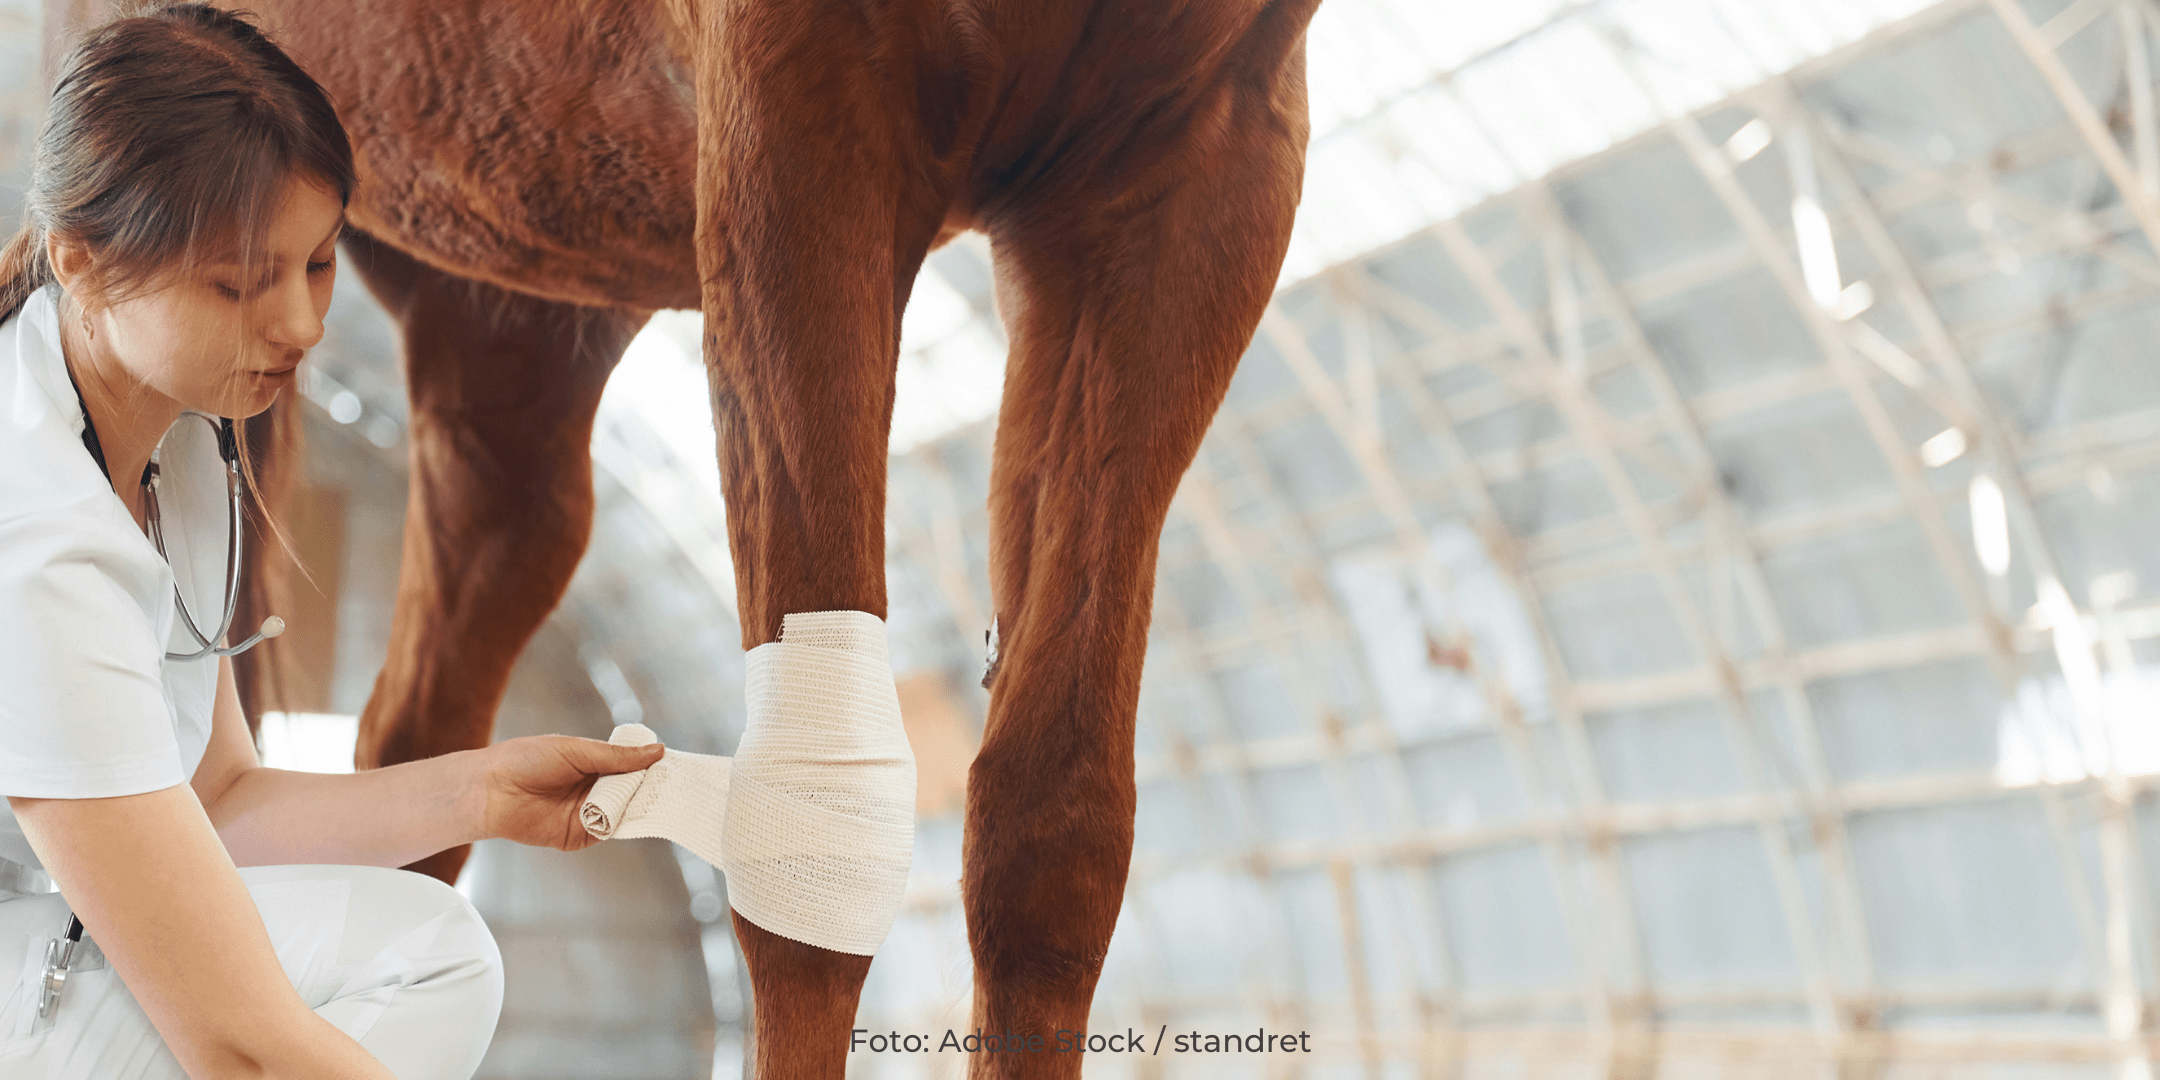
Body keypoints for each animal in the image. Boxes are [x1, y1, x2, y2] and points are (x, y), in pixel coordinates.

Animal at [47, 1, 1323, 1074]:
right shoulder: (798, 111)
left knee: (423, 724)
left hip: (516, 294)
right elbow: (814, 833)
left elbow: (1051, 831)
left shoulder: (1193, 168)